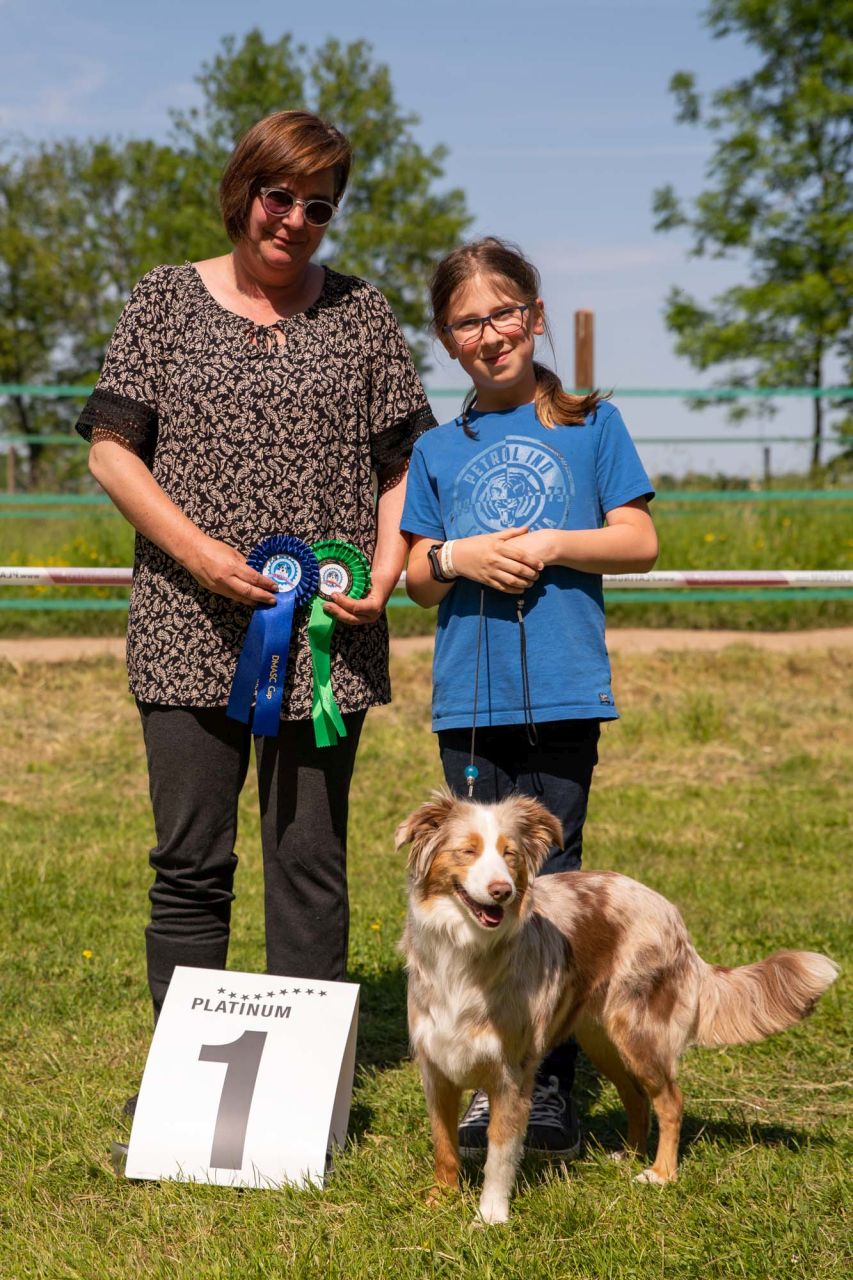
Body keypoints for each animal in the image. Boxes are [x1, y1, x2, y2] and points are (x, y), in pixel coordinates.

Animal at [394, 788, 835, 1218]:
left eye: (510, 854)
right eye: (467, 851)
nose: (503, 891)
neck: (464, 952)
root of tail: (673, 916)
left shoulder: (512, 1073)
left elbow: (499, 1154)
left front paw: (490, 1217)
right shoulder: (436, 1068)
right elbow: (444, 1144)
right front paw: (441, 1200)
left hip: (639, 1033)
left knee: (670, 1100)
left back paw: (660, 1173)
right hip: (603, 1040)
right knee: (636, 1098)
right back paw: (630, 1155)